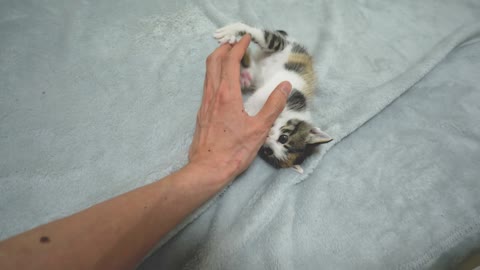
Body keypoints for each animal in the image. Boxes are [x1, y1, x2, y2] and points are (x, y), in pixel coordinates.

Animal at [213, 23, 330, 175]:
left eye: (268, 152)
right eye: (284, 138)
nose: (267, 137)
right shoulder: (289, 90)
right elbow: (260, 97)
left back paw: (245, 71)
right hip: (281, 46)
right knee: (261, 35)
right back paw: (231, 30)